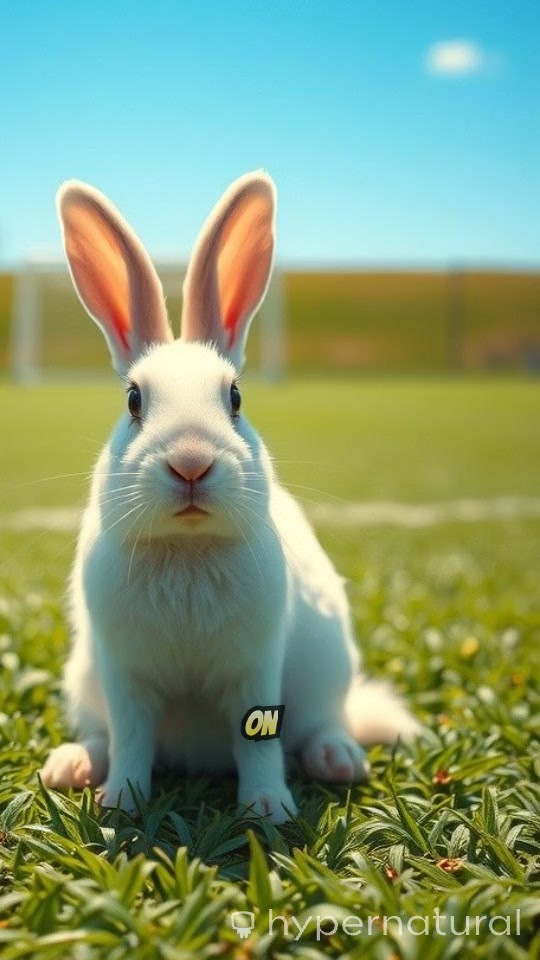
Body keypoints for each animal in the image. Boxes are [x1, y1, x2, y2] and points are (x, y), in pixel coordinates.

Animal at [41, 171, 419, 824]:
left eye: (236, 397)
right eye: (134, 401)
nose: (191, 462)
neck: (188, 549)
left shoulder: (255, 669)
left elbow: (259, 744)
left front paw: (268, 809)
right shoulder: (124, 673)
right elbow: (132, 738)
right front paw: (121, 803)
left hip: (327, 672)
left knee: (324, 722)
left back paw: (338, 759)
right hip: (84, 679)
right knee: (100, 734)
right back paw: (72, 765)